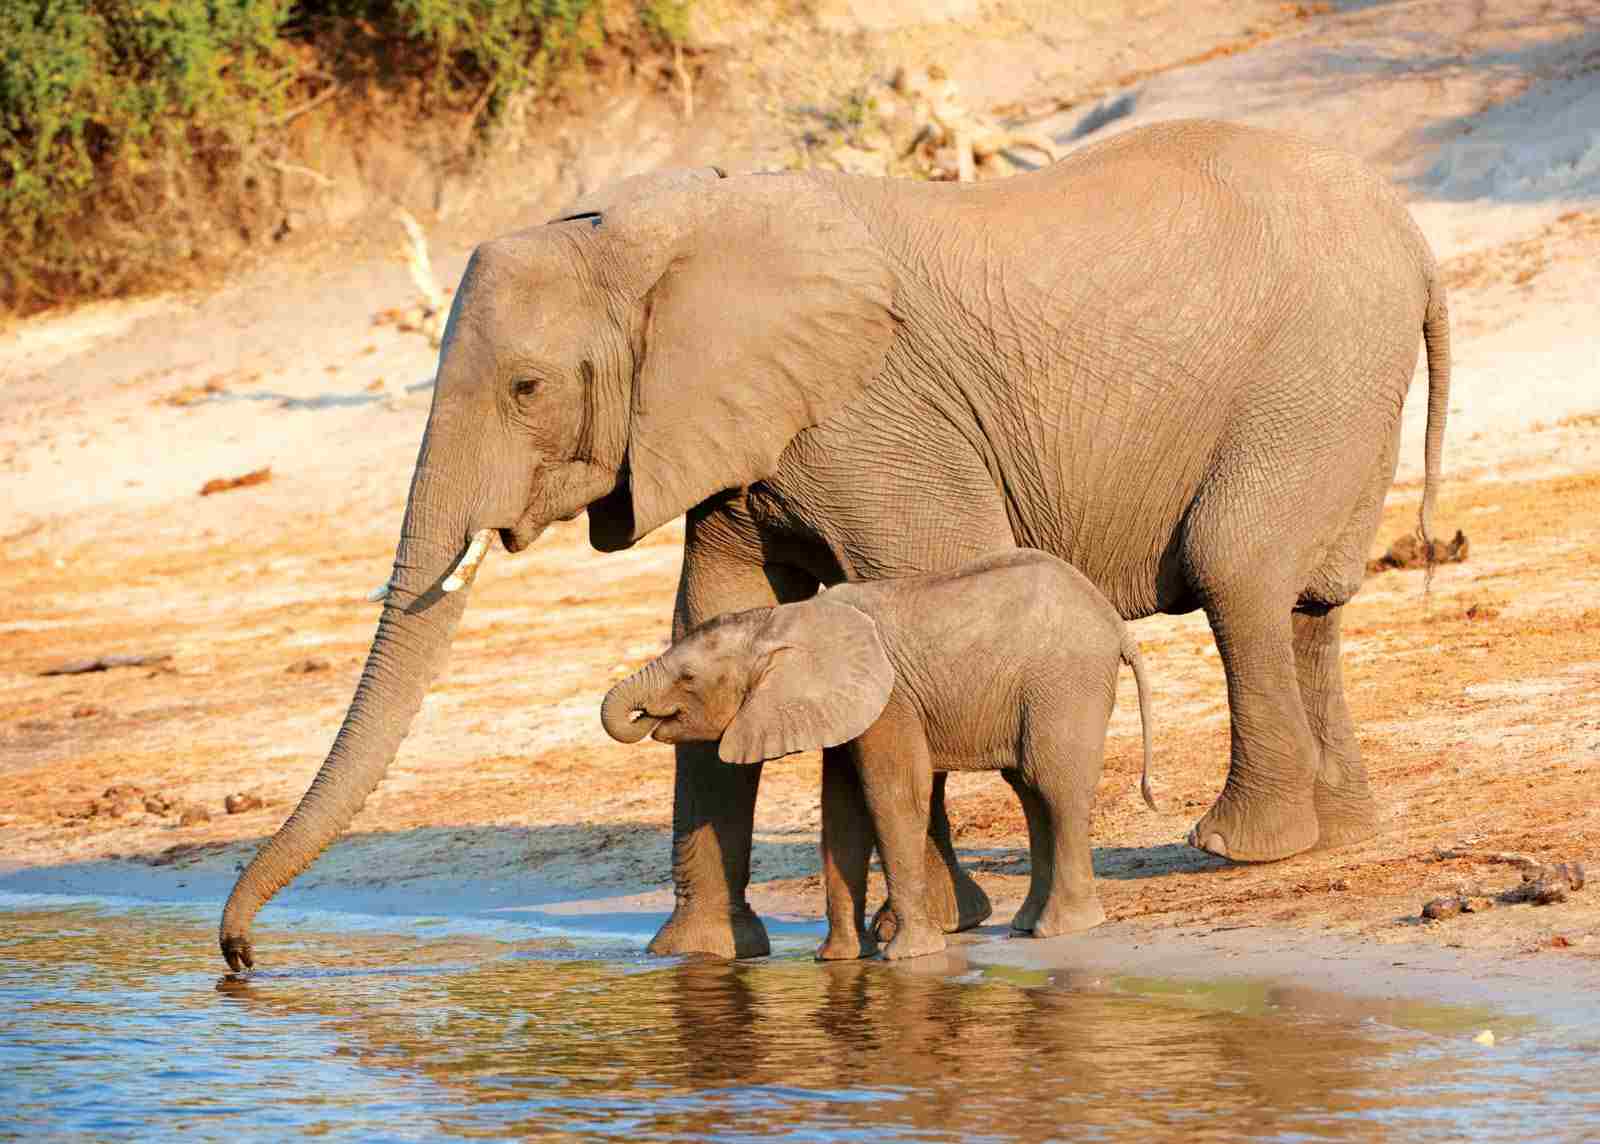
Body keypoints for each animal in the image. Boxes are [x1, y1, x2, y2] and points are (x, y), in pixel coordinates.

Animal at [601, 550, 1152, 960]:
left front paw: (908, 956)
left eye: (688, 677)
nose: (644, 715)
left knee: (1052, 784)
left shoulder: (890, 701)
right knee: (1029, 790)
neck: (779, 622)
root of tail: (1113, 622)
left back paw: (1063, 928)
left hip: (1065, 681)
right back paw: (1026, 924)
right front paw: (839, 960)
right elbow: (842, 813)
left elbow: (892, 795)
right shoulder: (846, 706)